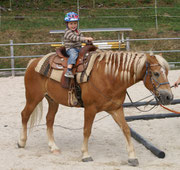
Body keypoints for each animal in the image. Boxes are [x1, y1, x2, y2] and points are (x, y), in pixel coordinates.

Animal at [17, 45, 173, 167]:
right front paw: (85, 155)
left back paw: (53, 147)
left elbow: (126, 130)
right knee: (25, 115)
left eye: (167, 72)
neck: (109, 76)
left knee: (49, 120)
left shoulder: (116, 109)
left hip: (53, 100)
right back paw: (22, 142)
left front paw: (132, 157)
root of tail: (33, 62)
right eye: (156, 73)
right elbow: (87, 130)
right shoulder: (90, 109)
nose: (169, 97)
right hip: (33, 97)